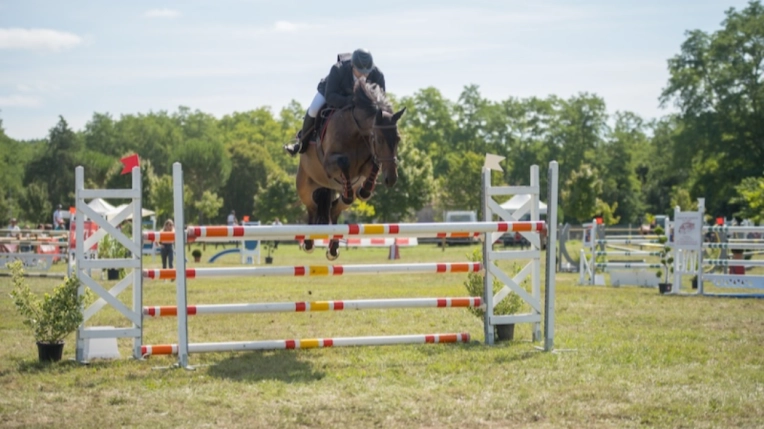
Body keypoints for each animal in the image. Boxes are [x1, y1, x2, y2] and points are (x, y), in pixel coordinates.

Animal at [296, 76, 408, 258]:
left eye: (398, 139)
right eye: (379, 139)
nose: (391, 179)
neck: (356, 131)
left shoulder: (365, 167)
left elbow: (373, 166)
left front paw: (365, 191)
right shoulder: (328, 163)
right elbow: (344, 162)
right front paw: (349, 191)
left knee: (334, 209)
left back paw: (333, 248)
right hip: (305, 186)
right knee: (312, 207)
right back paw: (309, 242)